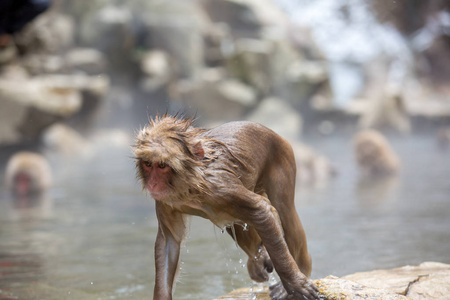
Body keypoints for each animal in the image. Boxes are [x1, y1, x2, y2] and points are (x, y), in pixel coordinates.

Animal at [134, 115, 320, 300]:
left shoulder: (223, 188)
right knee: (237, 224)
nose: (153, 184)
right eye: (148, 164)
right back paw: (260, 258)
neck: (192, 186)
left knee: (283, 210)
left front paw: (295, 284)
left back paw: (302, 268)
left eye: (162, 166)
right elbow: (169, 241)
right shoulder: (165, 201)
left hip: (282, 157)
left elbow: (261, 211)